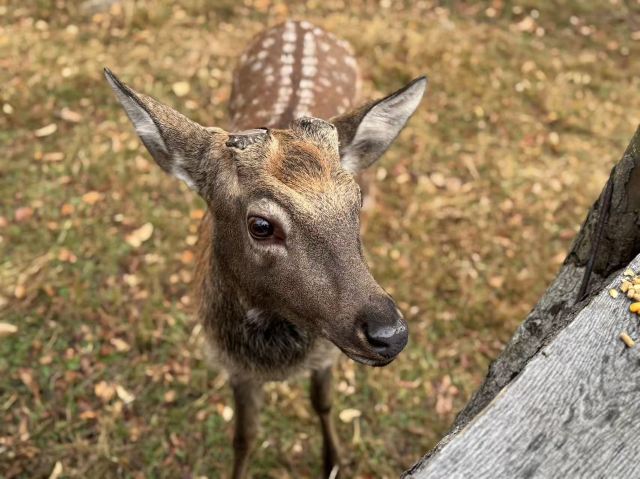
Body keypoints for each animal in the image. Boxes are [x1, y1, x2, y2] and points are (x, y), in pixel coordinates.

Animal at [105, 19, 426, 479]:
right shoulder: (231, 365)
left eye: (356, 201)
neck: (273, 362)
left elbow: (323, 403)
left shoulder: (326, 353)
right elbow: (244, 436)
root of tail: (298, 23)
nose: (389, 333)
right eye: (261, 225)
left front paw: (333, 462)